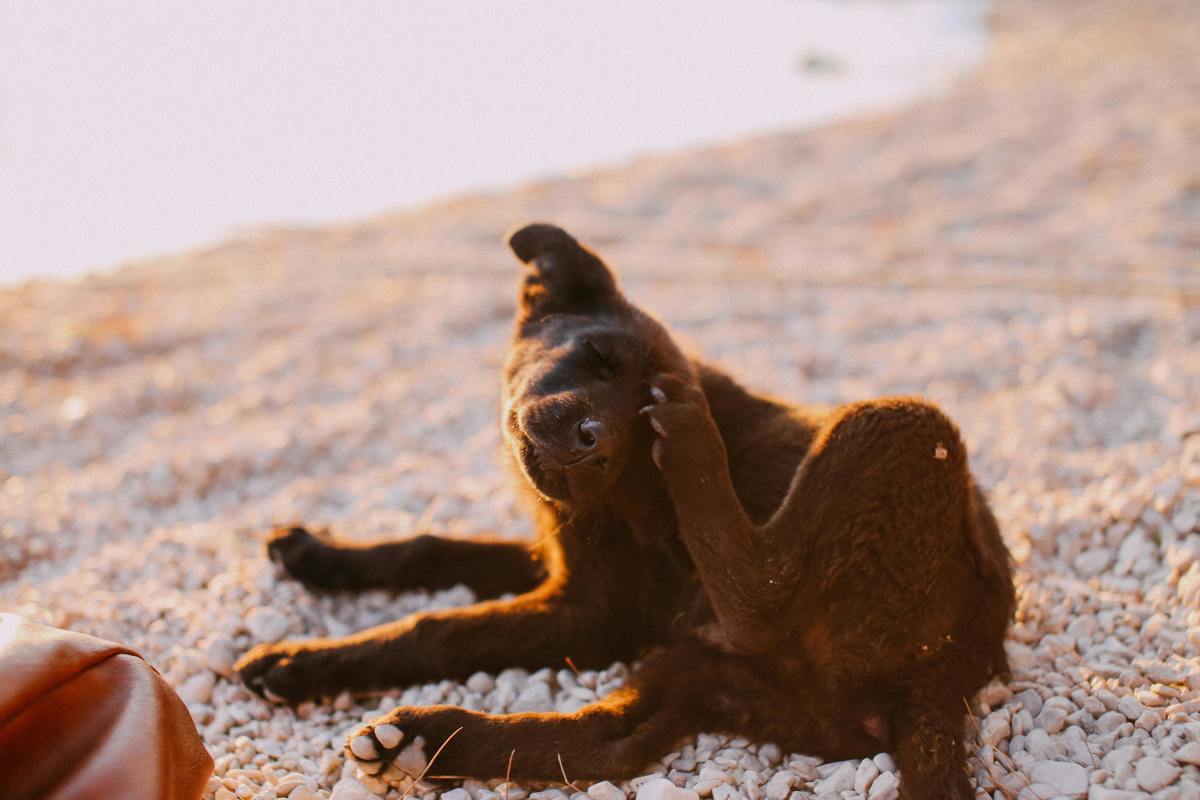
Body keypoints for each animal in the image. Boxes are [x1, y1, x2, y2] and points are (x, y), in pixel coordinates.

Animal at [234, 221, 1012, 796]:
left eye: (639, 419)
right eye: (596, 356)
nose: (592, 443)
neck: (625, 489)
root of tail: (943, 677)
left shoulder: (593, 610)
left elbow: (442, 627)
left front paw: (302, 655)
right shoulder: (561, 561)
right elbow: (435, 548)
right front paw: (315, 561)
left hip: (902, 427)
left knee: (759, 597)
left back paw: (694, 446)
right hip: (716, 678)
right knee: (613, 744)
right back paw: (430, 740)